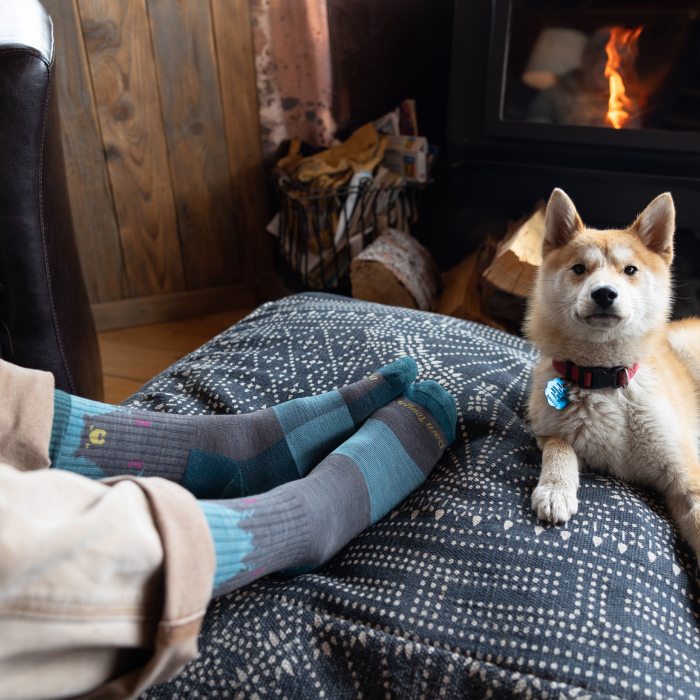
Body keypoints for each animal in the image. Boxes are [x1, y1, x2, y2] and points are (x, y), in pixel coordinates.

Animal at [524, 189, 700, 560]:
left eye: (630, 270)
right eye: (579, 269)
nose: (604, 292)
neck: (604, 378)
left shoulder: (685, 475)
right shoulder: (549, 430)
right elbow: (560, 446)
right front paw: (556, 488)